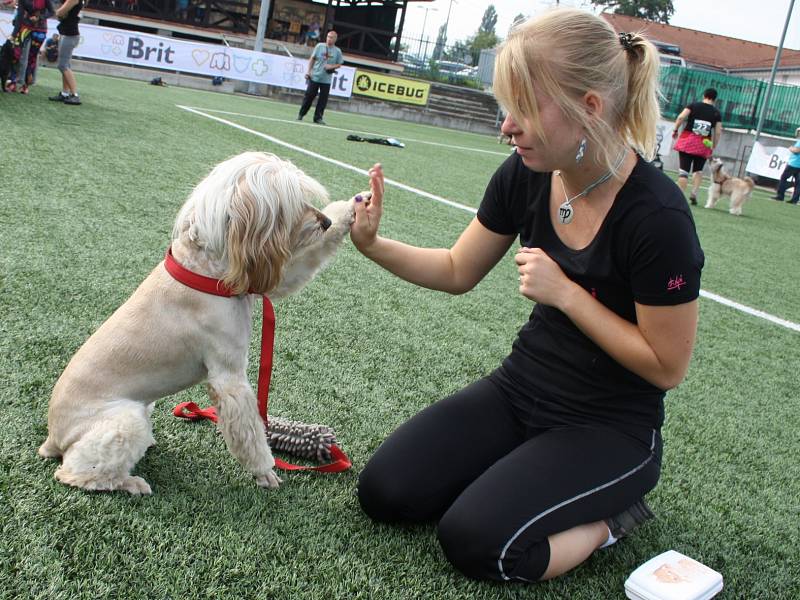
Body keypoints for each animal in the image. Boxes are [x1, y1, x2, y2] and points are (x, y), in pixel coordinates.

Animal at [39, 152, 358, 494]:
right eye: (290, 204)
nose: (324, 222)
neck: (208, 271)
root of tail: (52, 437)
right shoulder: (229, 377)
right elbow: (250, 433)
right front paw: (265, 471)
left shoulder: (259, 279)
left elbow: (303, 263)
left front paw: (350, 210)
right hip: (124, 420)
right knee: (74, 472)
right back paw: (131, 482)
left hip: (142, 409)